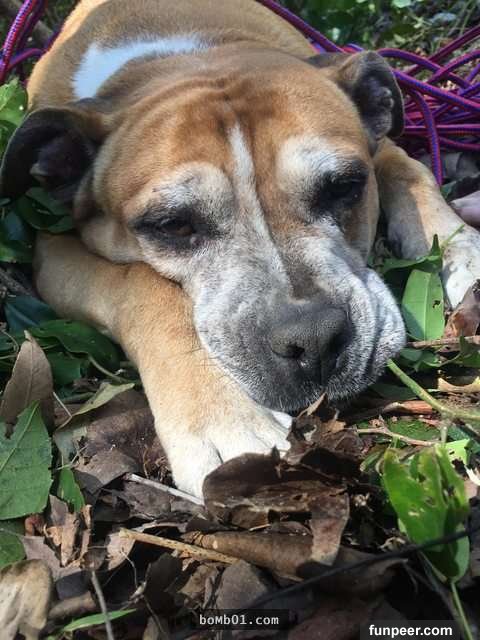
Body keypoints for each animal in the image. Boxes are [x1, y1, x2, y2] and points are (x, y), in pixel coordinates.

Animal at [1, 0, 479, 496]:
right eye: (173, 225)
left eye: (344, 187)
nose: (313, 339)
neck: (177, 52)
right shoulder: (52, 248)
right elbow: (140, 286)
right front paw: (224, 413)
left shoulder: (377, 144)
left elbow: (410, 171)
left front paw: (463, 252)